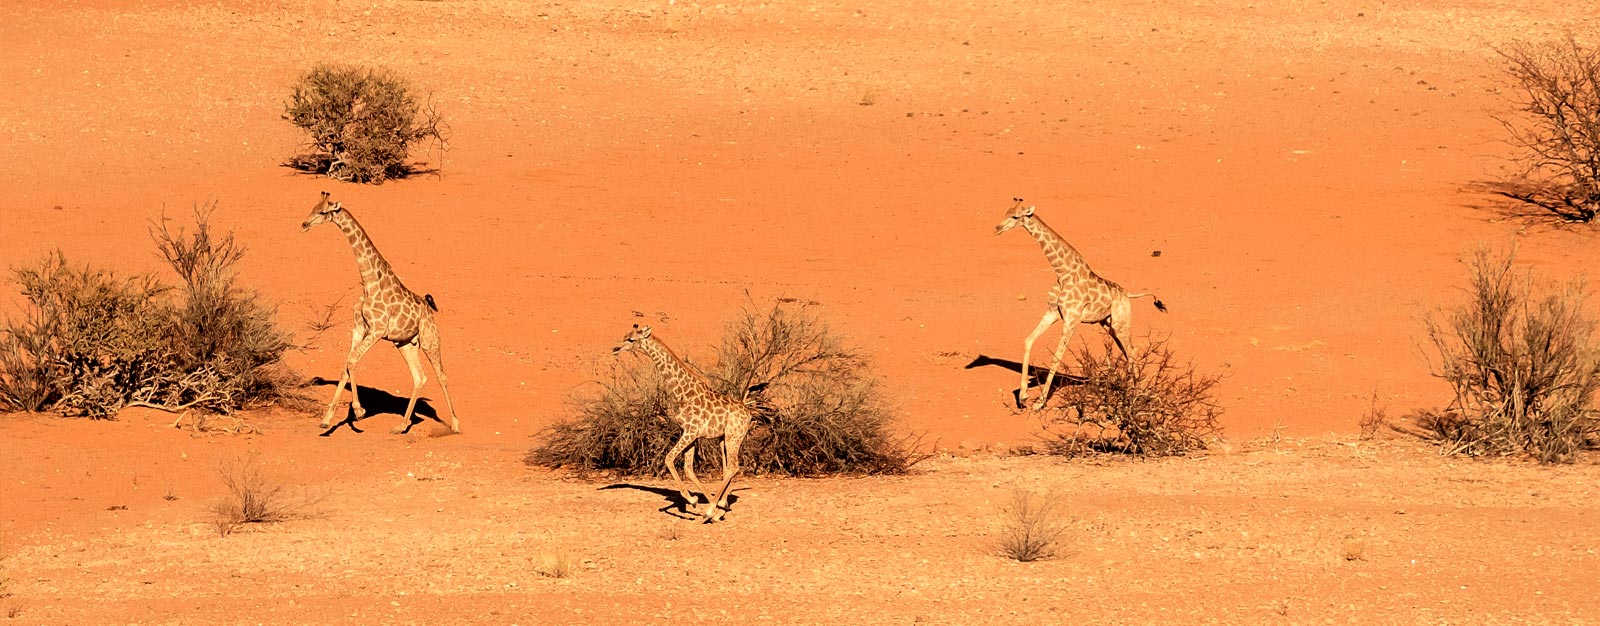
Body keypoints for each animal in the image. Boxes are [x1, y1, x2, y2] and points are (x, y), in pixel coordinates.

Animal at [300, 192, 464, 435]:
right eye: (312, 207)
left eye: (323, 211)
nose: (304, 224)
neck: (369, 283)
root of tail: (429, 307)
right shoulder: (358, 329)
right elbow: (345, 367)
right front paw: (326, 420)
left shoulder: (376, 330)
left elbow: (352, 363)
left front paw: (359, 411)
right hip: (406, 344)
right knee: (419, 377)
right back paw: (401, 425)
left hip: (430, 341)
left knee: (441, 376)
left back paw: (454, 424)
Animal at [611, 323, 748, 525]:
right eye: (624, 336)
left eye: (631, 339)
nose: (615, 349)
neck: (681, 392)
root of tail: (750, 415)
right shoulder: (690, 433)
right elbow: (688, 469)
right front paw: (702, 503)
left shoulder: (690, 432)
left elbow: (669, 458)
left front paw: (697, 502)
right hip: (724, 439)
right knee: (728, 467)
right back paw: (722, 506)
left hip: (734, 436)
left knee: (733, 466)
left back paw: (713, 510)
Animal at [992, 198, 1171, 409]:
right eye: (1005, 212)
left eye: (1015, 216)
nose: (997, 228)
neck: (1063, 273)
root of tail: (1127, 294)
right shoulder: (1053, 312)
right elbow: (1028, 340)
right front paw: (1023, 396)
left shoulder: (1071, 320)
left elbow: (1056, 357)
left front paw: (1040, 403)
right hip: (1108, 324)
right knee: (1129, 350)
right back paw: (1133, 390)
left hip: (1121, 323)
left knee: (1132, 350)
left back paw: (1136, 394)